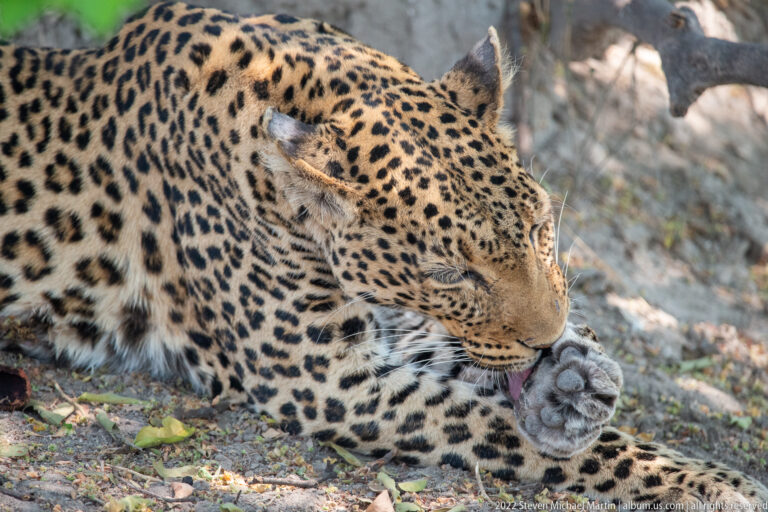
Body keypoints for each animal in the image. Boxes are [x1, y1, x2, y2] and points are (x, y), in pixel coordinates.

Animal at [0, 2, 766, 506]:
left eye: (541, 229)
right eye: (452, 273)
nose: (546, 340)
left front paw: (575, 375)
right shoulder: (321, 377)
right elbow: (488, 422)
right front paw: (714, 482)